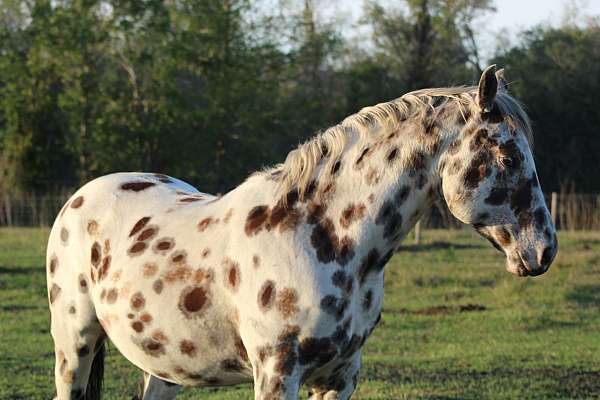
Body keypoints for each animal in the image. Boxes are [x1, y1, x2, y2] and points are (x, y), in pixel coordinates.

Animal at [47, 66, 556, 400]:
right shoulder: (277, 374)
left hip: (165, 366)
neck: (321, 236)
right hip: (74, 344)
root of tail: (81, 197)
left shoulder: (340, 377)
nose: (544, 250)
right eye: (508, 157)